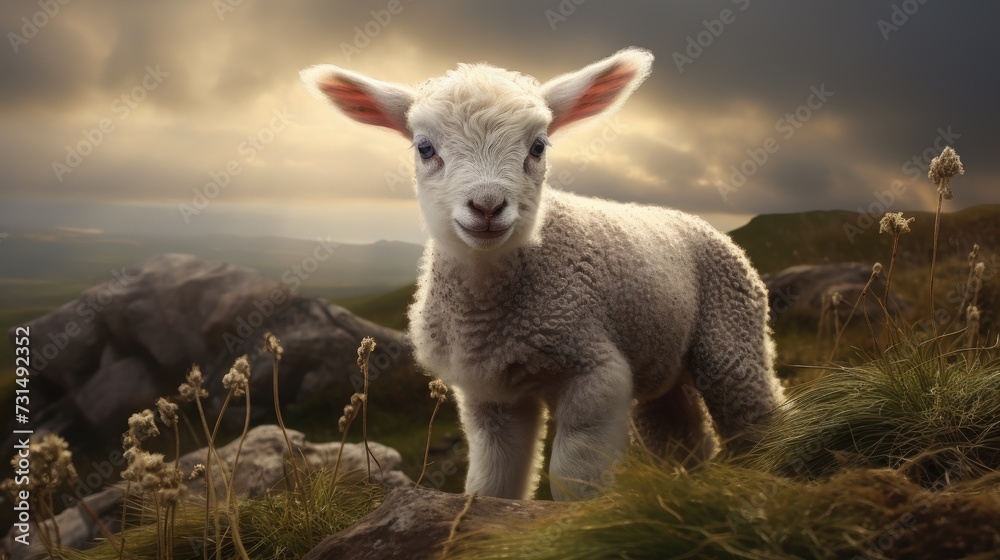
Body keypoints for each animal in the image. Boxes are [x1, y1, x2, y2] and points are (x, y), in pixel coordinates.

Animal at [301, 47, 784, 501]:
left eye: (538, 147)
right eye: (424, 148)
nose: (487, 206)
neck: (490, 311)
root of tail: (699, 223)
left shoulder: (593, 371)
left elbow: (574, 478)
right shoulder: (489, 392)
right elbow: (491, 483)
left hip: (730, 334)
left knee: (757, 417)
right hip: (662, 363)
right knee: (682, 439)